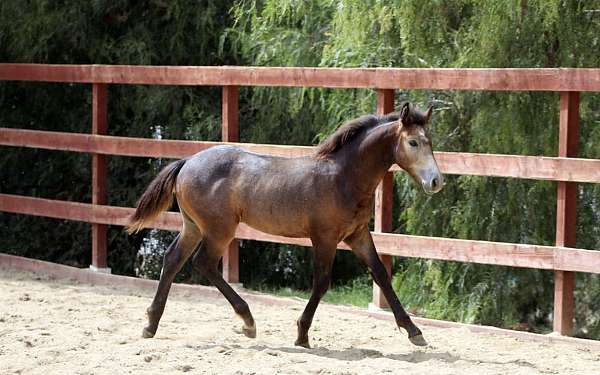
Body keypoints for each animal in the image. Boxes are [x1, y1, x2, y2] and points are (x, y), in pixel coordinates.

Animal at [127, 101, 446, 348]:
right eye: (413, 142)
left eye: (431, 142)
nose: (436, 182)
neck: (344, 176)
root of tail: (187, 162)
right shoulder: (325, 238)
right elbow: (322, 282)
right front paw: (302, 334)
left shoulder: (357, 235)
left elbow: (380, 275)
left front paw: (415, 332)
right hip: (219, 230)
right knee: (203, 263)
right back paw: (248, 321)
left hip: (193, 227)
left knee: (173, 260)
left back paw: (150, 324)